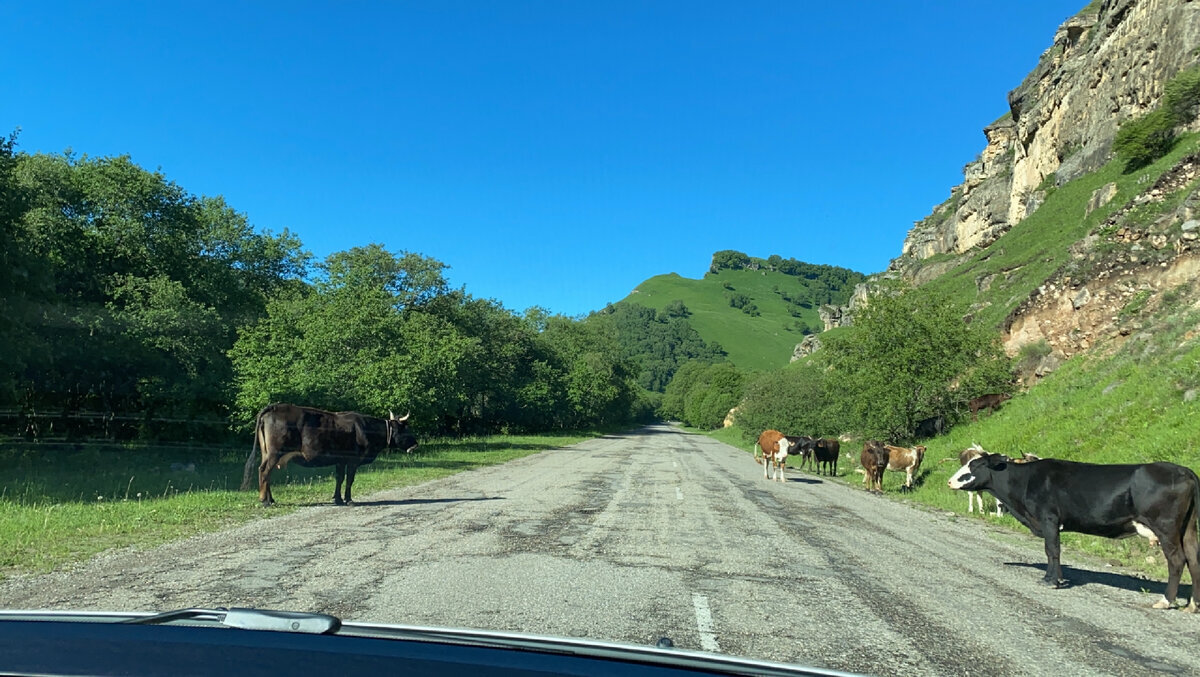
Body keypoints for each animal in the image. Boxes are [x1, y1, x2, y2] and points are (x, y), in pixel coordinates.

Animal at [238, 400, 417, 508]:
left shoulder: (340, 460)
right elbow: (349, 480)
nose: (416, 444)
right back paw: (264, 501)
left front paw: (337, 499)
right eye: (406, 429)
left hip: (267, 451)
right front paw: (349, 500)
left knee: (267, 473)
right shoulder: (352, 460)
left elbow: (339, 478)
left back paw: (271, 499)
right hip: (275, 452)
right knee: (264, 471)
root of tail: (274, 407)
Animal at [945, 451, 1200, 609]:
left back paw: (1166, 601)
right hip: (1188, 528)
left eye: (975, 465)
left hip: (1165, 527)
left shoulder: (1048, 518)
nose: (949, 481)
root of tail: (1183, 470)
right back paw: (1193, 605)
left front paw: (1050, 580)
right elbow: (1055, 551)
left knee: (1177, 560)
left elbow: (1052, 550)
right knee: (1193, 558)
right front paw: (1057, 578)